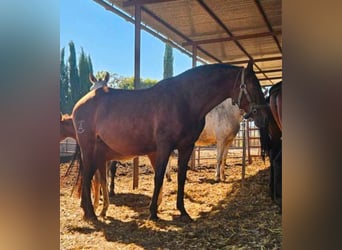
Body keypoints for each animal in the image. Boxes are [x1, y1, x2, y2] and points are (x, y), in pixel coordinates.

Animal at [73, 61, 270, 221]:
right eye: (253, 86)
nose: (264, 117)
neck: (185, 100)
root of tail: (80, 103)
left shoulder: (187, 147)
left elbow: (181, 176)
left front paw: (182, 210)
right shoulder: (164, 146)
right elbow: (159, 176)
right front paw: (153, 212)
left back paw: (88, 211)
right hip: (89, 148)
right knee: (88, 175)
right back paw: (91, 213)